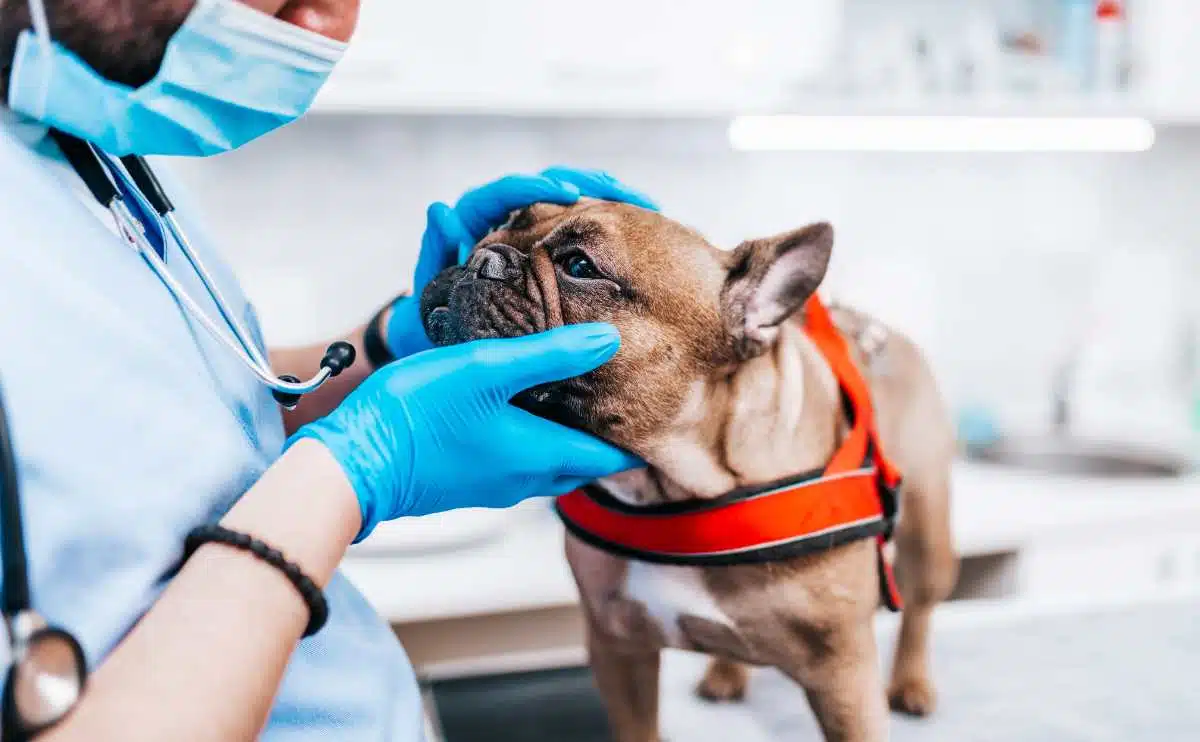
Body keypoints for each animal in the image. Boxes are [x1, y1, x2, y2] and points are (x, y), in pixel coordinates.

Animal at [422, 196, 955, 739]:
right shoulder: (618, 647)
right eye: (501, 222)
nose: (481, 256)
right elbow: (637, 728)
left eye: (580, 267)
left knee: (919, 608)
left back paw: (912, 684)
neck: (675, 490)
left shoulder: (843, 673)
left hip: (927, 536)